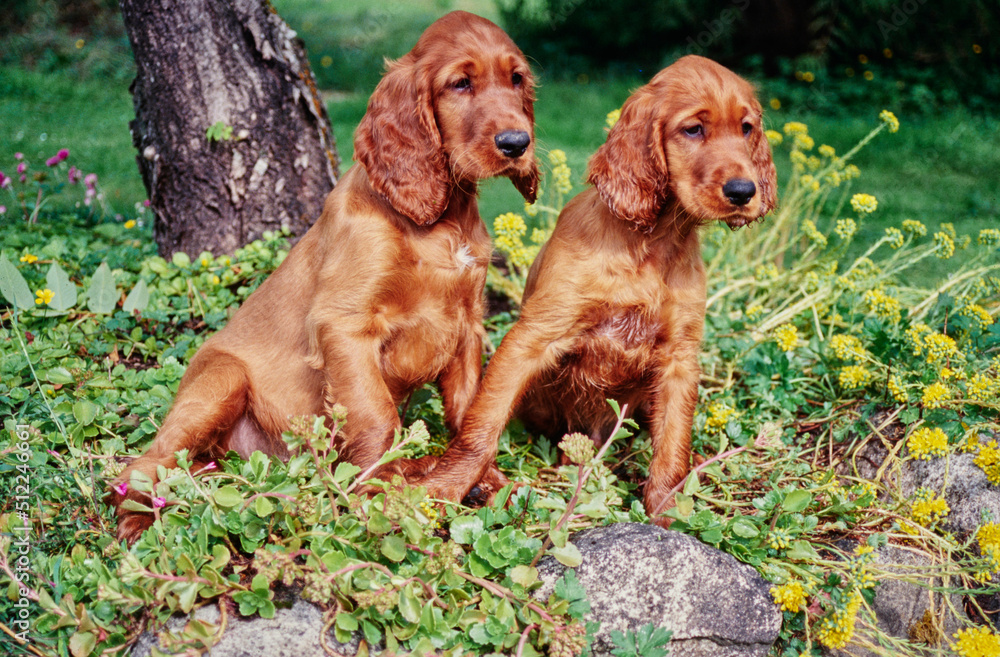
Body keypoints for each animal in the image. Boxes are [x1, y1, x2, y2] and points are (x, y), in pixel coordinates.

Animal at [109, 11, 540, 544]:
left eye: (516, 79)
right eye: (461, 83)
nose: (517, 143)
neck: (440, 221)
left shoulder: (466, 326)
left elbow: (469, 410)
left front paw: (484, 480)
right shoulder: (345, 323)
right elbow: (376, 415)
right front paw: (378, 491)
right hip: (221, 382)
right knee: (142, 464)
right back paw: (136, 518)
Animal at [402, 55, 776, 524]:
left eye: (746, 128)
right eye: (693, 129)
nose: (745, 191)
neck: (649, 244)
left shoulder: (679, 359)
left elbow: (673, 442)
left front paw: (667, 511)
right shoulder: (534, 335)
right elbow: (482, 426)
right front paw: (445, 487)